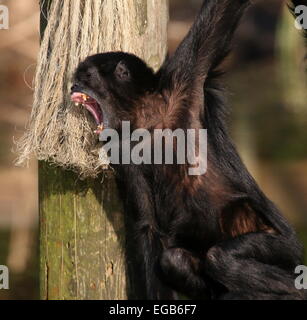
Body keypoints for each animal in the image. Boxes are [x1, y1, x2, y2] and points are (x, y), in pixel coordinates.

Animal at [71, 0, 306, 300]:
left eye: (86, 76)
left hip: (281, 245)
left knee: (222, 256)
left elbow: (221, 11)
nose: (73, 84)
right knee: (176, 260)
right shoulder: (123, 152)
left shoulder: (185, 77)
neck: (149, 120)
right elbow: (148, 227)